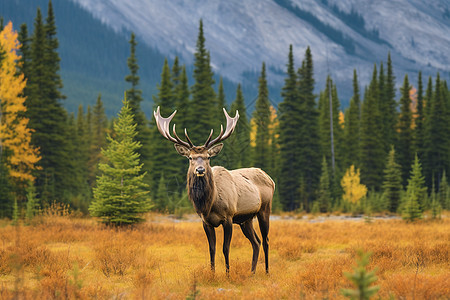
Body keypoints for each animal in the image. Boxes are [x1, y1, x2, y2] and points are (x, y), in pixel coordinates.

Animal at [155, 106, 274, 274]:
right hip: (246, 219)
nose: (200, 169)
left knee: (266, 240)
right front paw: (212, 274)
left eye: (208, 157)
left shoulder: (229, 217)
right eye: (190, 158)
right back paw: (252, 272)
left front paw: (228, 274)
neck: (210, 204)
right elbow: (212, 249)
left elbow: (225, 248)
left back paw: (267, 271)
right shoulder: (206, 222)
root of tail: (270, 178)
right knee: (256, 241)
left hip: (264, 209)